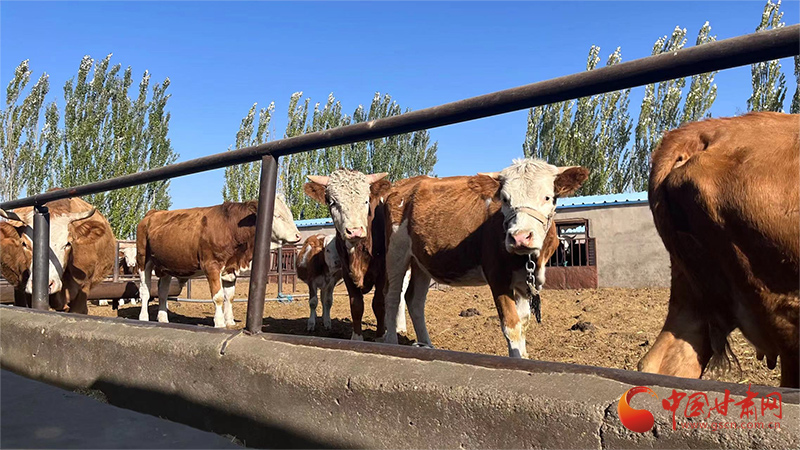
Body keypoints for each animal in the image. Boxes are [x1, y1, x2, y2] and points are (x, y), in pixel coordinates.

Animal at [136, 195, 301, 328]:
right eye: (277, 216)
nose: (298, 235)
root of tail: (153, 213)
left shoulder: (231, 268)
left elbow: (230, 297)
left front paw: (230, 321)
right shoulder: (212, 266)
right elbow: (219, 297)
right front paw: (220, 322)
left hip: (166, 267)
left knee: (163, 292)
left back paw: (163, 319)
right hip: (143, 260)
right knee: (145, 290)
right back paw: (143, 317)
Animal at [304, 170, 393, 340]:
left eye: (366, 201)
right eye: (332, 202)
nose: (354, 231)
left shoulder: (383, 272)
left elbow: (379, 304)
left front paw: (380, 337)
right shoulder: (346, 272)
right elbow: (356, 305)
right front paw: (357, 338)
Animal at [381, 159, 588, 357]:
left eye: (547, 197)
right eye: (505, 199)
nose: (520, 237)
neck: (530, 260)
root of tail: (405, 183)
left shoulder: (524, 281)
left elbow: (523, 322)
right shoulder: (497, 276)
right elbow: (511, 326)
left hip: (421, 261)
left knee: (414, 299)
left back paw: (426, 345)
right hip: (396, 252)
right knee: (392, 296)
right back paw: (391, 342)